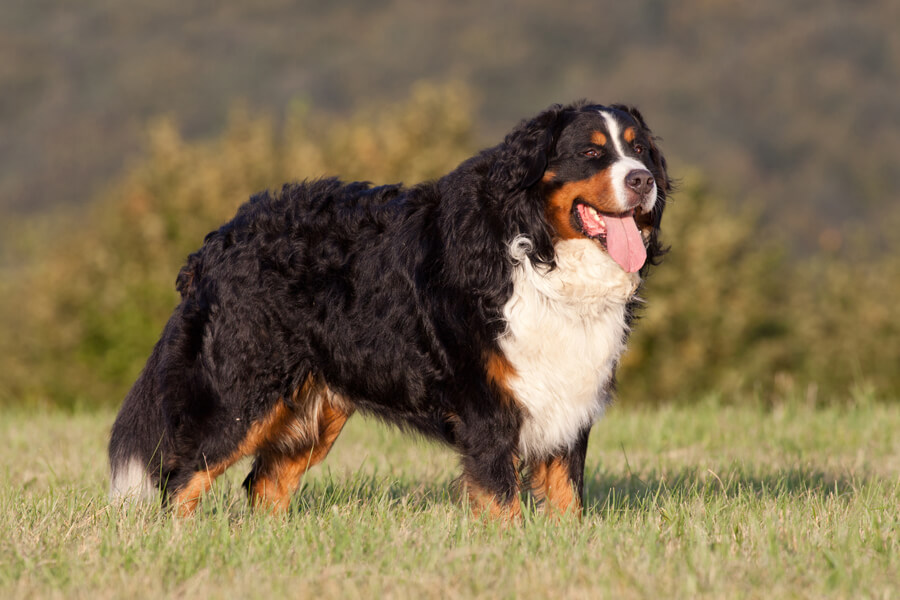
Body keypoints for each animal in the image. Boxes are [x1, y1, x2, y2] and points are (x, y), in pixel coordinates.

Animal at [107, 101, 668, 516]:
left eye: (640, 149)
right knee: (182, 480)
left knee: (264, 485)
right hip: (240, 395)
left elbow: (568, 503)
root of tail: (214, 244)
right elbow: (502, 503)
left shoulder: (567, 404)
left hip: (313, 410)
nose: (643, 180)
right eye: (591, 153)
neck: (538, 254)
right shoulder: (489, 413)